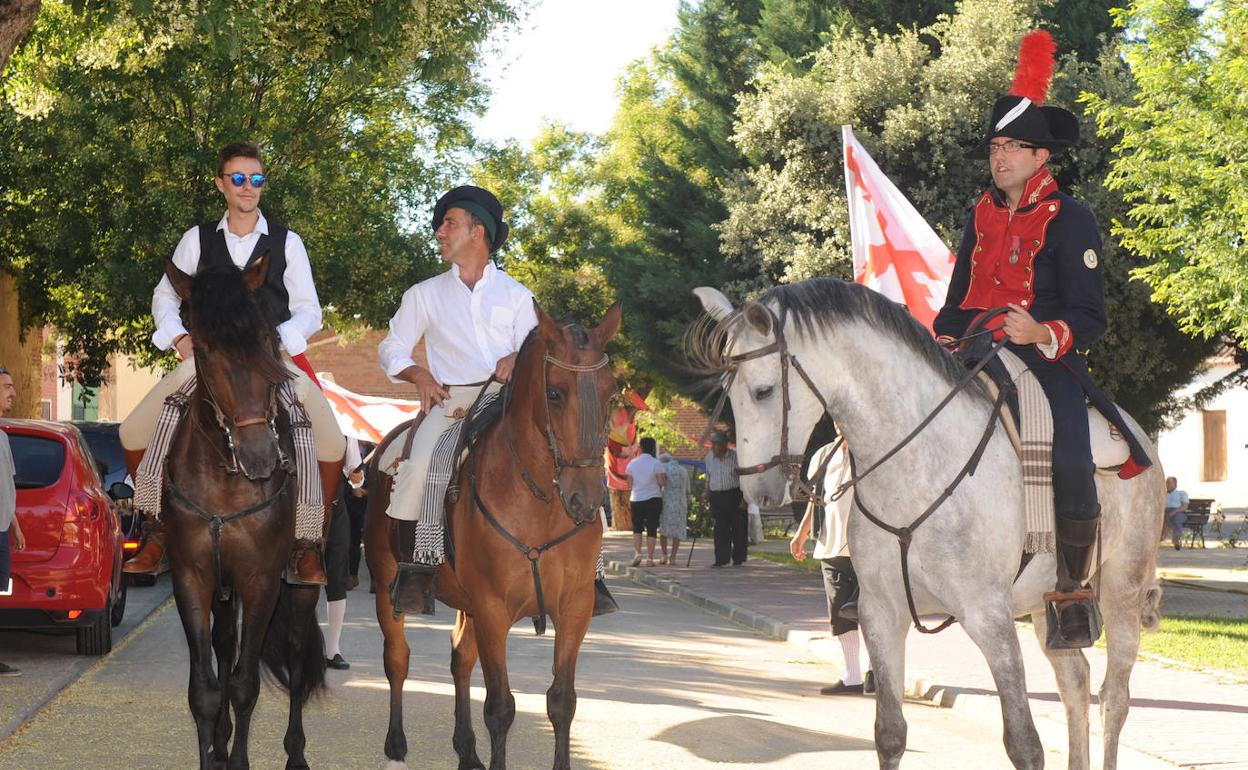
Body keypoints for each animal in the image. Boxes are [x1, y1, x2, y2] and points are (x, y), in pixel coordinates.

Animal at [160, 258, 326, 768]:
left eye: (265, 340)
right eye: (202, 349)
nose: (260, 457)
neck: (225, 477)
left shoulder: (261, 580)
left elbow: (244, 685)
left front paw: (238, 759)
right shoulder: (192, 578)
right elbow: (206, 691)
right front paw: (213, 752)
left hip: (300, 586)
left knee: (295, 656)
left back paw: (296, 753)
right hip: (223, 588)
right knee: (224, 647)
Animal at [364, 300, 624, 768]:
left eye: (612, 392)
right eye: (555, 393)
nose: (586, 499)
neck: (540, 500)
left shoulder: (574, 608)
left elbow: (562, 701)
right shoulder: (492, 609)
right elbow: (501, 707)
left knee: (460, 660)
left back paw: (466, 750)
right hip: (385, 580)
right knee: (397, 659)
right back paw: (396, 742)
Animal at [698, 278, 1163, 768]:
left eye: (763, 391)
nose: (758, 492)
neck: (916, 463)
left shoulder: (989, 616)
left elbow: (1024, 743)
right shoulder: (881, 614)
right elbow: (890, 733)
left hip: (1121, 588)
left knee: (1114, 697)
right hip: (1046, 603)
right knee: (1075, 682)